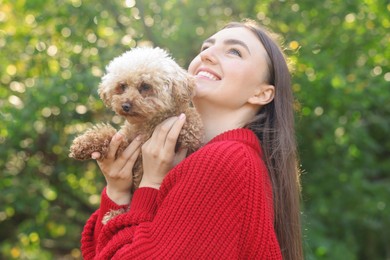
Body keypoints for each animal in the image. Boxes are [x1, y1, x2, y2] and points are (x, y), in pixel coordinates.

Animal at [70, 46, 204, 191]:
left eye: (145, 86)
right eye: (122, 86)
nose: (125, 106)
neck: (145, 125)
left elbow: (190, 125)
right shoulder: (126, 144)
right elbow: (109, 135)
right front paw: (83, 143)